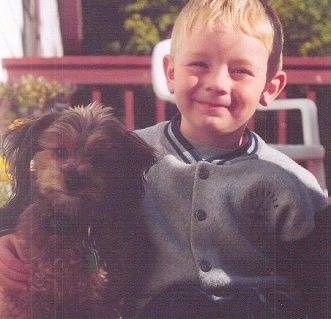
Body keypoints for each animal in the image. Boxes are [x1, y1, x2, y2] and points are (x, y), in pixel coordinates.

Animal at [0, 104, 156, 318]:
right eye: (60, 151)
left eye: (98, 158)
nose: (73, 179)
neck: (72, 224)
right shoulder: (27, 298)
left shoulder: (103, 301)